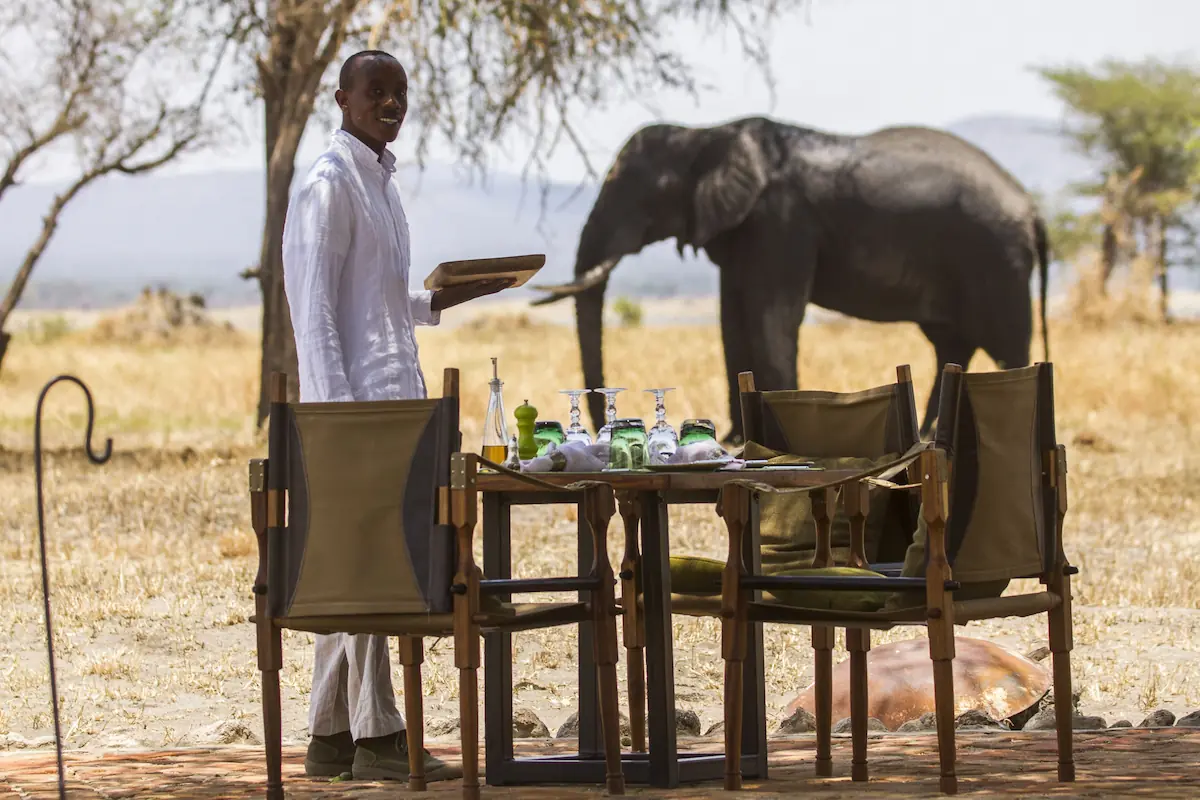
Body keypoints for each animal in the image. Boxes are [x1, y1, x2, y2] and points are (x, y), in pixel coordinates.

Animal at [530, 115, 1050, 444]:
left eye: (649, 195)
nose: (603, 427)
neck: (708, 133)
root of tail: (1031, 207)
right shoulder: (742, 230)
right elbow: (733, 322)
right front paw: (735, 436)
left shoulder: (781, 220)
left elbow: (771, 316)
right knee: (952, 346)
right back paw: (925, 435)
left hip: (996, 259)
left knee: (1006, 347)